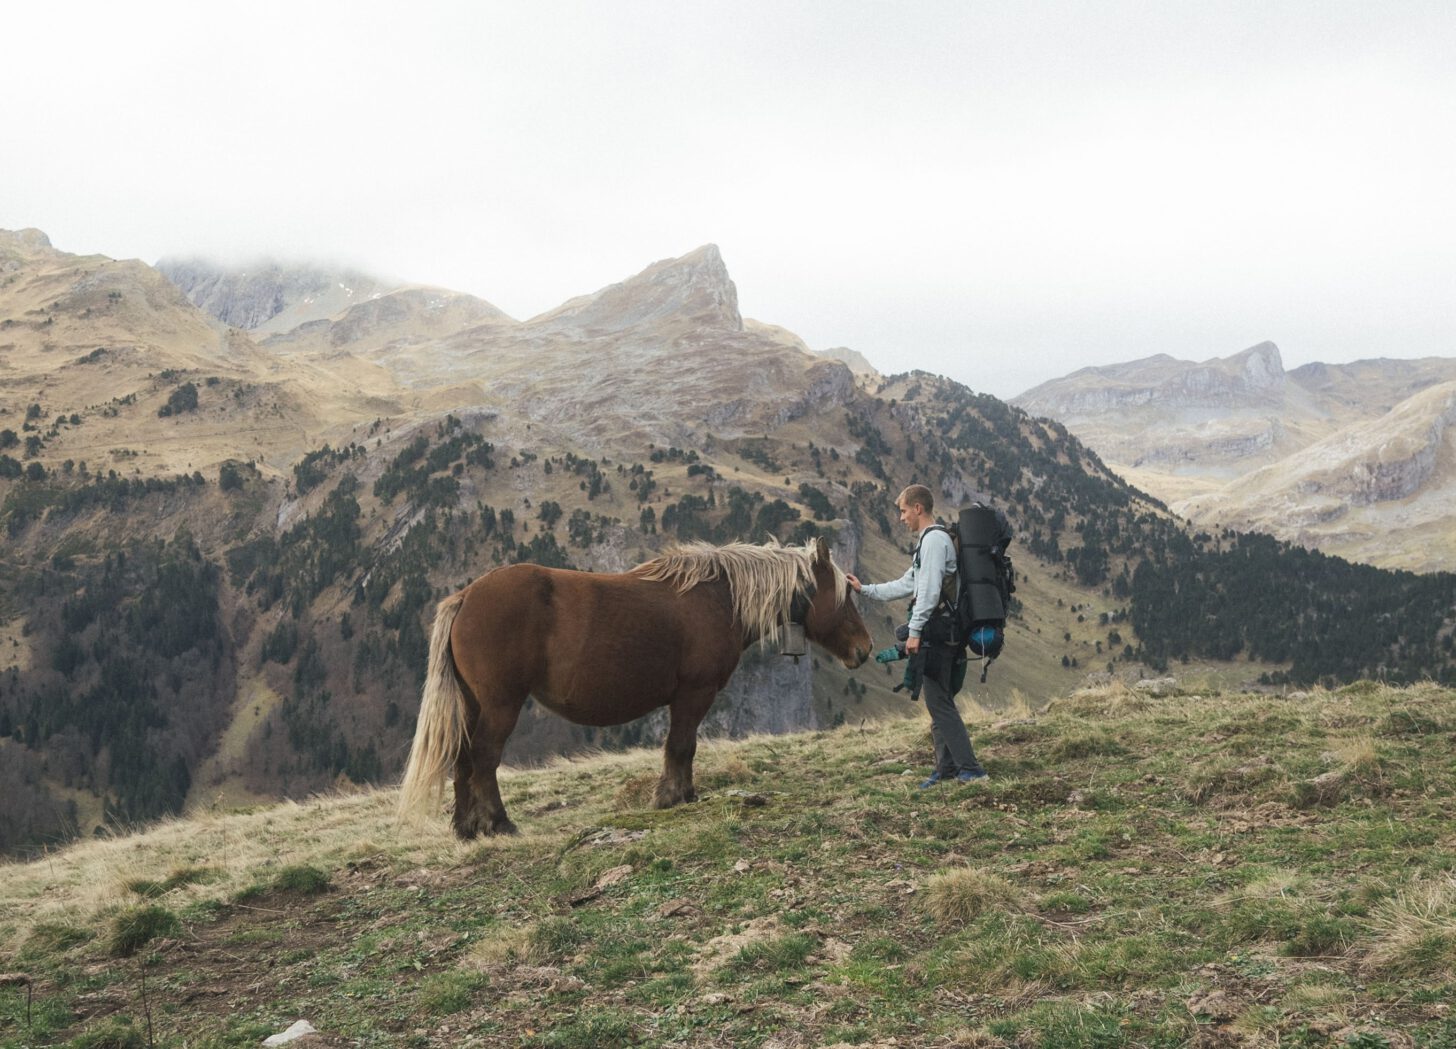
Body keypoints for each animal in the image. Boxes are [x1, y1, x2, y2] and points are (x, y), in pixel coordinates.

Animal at [398, 536, 867, 839]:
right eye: (845, 596)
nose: (864, 649)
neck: (719, 599)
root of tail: (466, 597)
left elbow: (682, 747)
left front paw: (683, 794)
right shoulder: (694, 693)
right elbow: (681, 746)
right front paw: (672, 796)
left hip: (473, 703)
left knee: (461, 758)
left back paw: (465, 828)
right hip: (500, 705)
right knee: (483, 757)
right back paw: (498, 823)